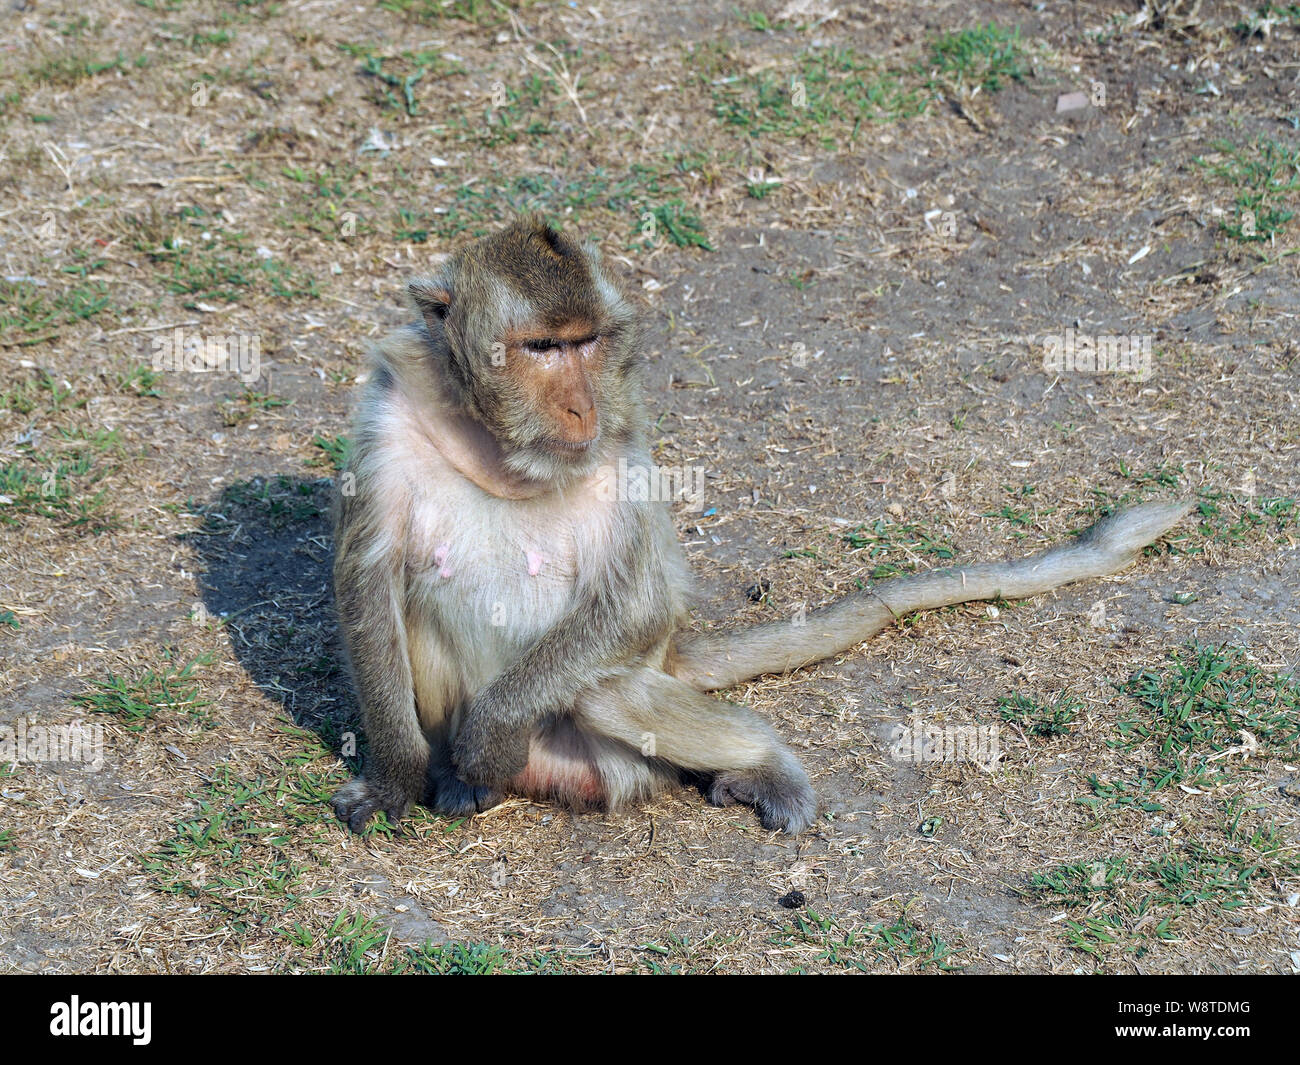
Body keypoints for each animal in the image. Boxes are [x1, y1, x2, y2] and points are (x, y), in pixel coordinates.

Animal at [330, 214, 1190, 832]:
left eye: (587, 342)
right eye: (541, 347)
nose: (581, 406)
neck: (504, 449)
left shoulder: (624, 436)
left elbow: (637, 603)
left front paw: (488, 733)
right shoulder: (389, 410)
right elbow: (368, 583)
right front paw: (395, 778)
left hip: (611, 750)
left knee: (606, 687)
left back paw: (765, 761)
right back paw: (455, 778)